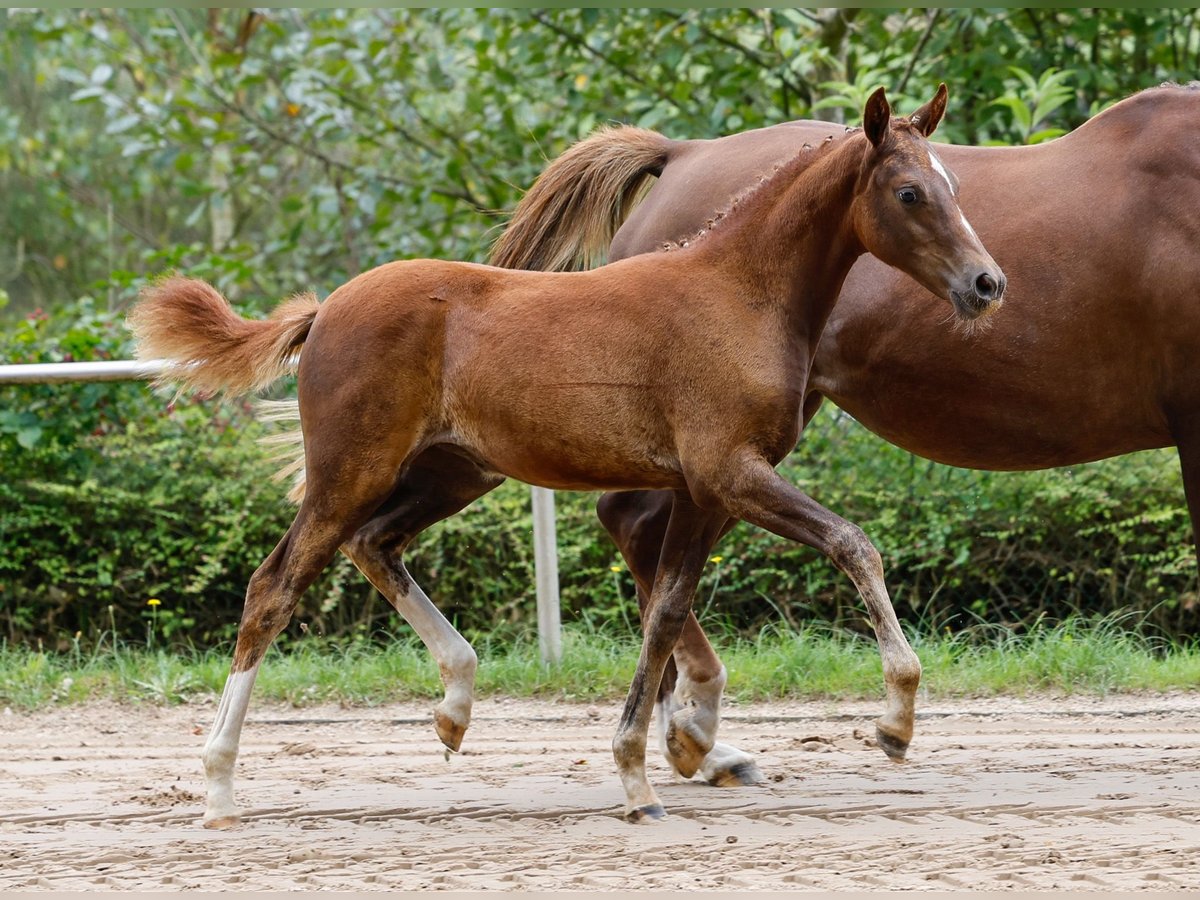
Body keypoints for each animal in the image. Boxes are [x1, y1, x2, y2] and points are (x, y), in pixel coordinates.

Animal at [129, 88, 1003, 830]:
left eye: (955, 183)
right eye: (909, 193)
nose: (987, 283)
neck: (740, 293)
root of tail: (325, 310)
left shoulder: (703, 492)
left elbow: (665, 614)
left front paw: (639, 775)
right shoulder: (731, 472)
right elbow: (854, 544)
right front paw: (895, 720)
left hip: (453, 472)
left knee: (373, 545)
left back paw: (454, 707)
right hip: (350, 472)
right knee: (274, 587)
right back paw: (219, 786)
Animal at [487, 84, 1200, 787]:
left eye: (955, 186)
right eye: (909, 193)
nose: (989, 283)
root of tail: (681, 153)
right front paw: (894, 716)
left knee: (644, 540)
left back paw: (693, 736)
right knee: (634, 528)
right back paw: (695, 729)